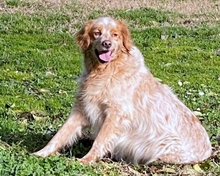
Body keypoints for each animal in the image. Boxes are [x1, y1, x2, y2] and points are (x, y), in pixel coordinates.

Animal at [34, 17, 211, 164]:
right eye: (97, 33)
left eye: (115, 35)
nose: (107, 43)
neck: (104, 71)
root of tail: (208, 150)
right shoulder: (81, 109)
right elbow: (59, 135)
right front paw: (40, 153)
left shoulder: (116, 114)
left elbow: (100, 140)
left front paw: (86, 160)